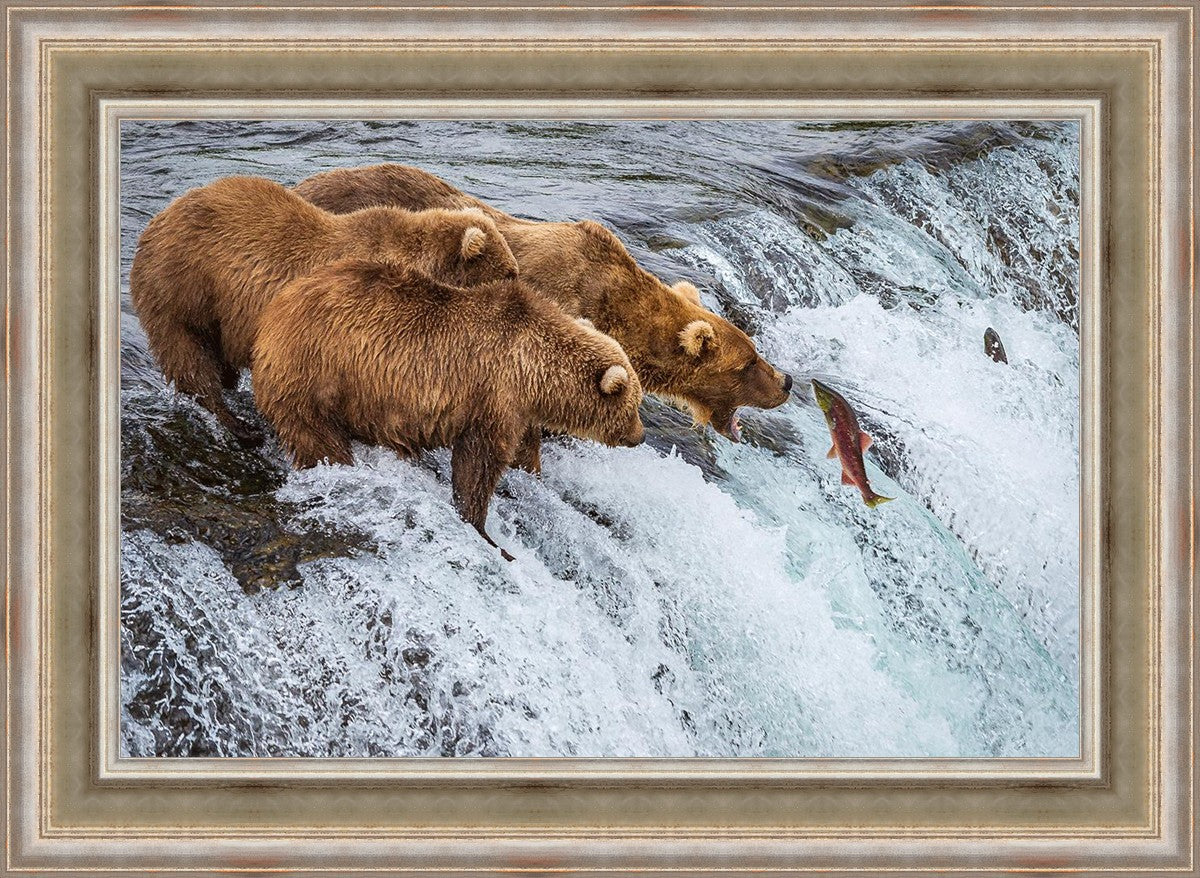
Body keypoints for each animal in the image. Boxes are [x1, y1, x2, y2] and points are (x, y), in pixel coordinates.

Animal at [130, 175, 519, 447]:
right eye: (509, 272)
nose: (520, 285)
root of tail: (158, 219)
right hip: (183, 288)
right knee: (189, 358)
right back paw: (239, 426)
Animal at [252, 258, 646, 559]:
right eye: (634, 405)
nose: (640, 436)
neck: (534, 370)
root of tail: (273, 313)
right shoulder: (493, 395)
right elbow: (478, 464)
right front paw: (485, 531)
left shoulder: (518, 409)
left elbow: (522, 451)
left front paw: (531, 475)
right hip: (315, 374)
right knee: (318, 437)